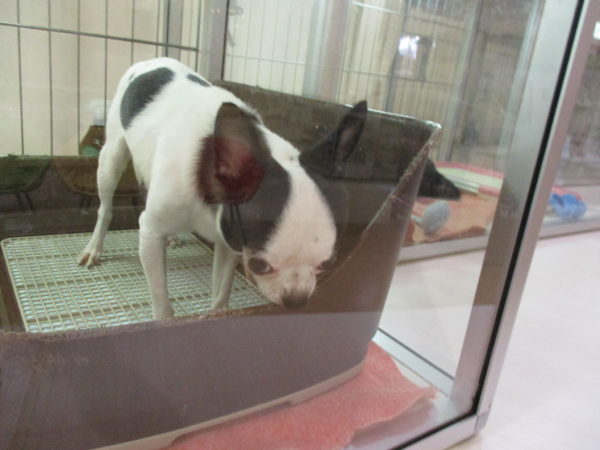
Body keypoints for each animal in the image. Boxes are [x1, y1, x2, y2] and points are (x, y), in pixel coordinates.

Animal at [79, 58, 367, 319]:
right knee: (105, 208)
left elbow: (221, 293)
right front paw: (165, 318)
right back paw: (95, 246)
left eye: (328, 263)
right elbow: (162, 303)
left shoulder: (229, 240)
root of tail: (150, 60)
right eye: (259, 266)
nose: (296, 300)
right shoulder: (150, 233)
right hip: (111, 158)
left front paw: (218, 314)